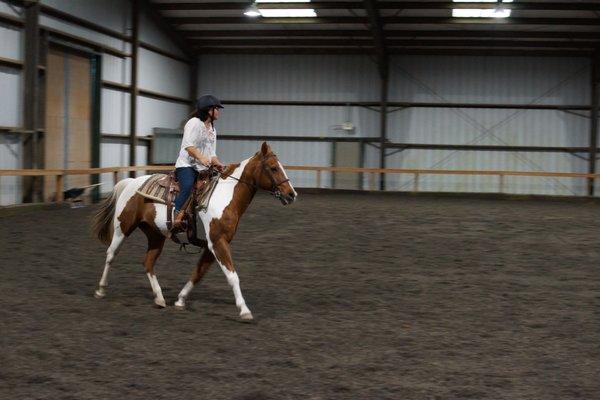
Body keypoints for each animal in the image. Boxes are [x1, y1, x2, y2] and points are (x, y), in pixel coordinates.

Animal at [92, 142, 298, 320]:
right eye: (273, 167)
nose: (291, 194)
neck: (225, 195)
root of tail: (131, 182)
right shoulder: (218, 242)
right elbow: (232, 276)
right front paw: (244, 310)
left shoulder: (213, 244)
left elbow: (199, 273)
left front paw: (181, 299)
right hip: (123, 228)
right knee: (111, 254)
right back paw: (101, 289)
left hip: (156, 235)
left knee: (148, 262)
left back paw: (159, 298)